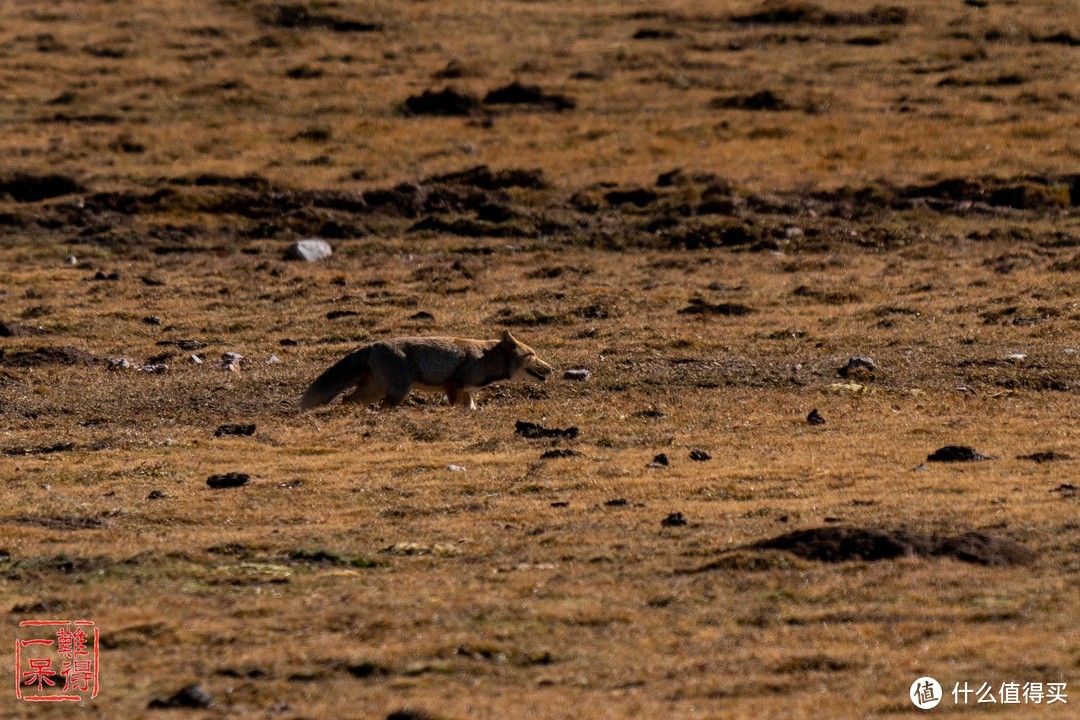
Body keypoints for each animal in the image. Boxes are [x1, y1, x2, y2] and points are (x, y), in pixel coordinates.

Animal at [300, 332, 552, 410]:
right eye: (533, 355)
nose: (552, 369)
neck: (486, 358)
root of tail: (374, 344)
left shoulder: (468, 392)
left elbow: (470, 408)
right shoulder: (453, 386)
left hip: (374, 391)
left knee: (346, 399)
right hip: (397, 392)